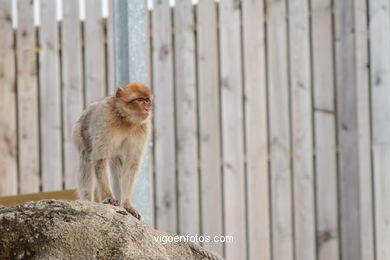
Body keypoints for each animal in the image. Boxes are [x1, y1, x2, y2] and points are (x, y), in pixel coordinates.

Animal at [71, 82, 152, 219]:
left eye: (147, 101)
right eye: (139, 100)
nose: (147, 109)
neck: (125, 119)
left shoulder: (143, 127)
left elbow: (132, 164)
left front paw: (127, 204)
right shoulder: (106, 118)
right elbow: (100, 158)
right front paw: (108, 197)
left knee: (117, 166)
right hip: (80, 131)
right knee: (86, 158)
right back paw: (87, 201)